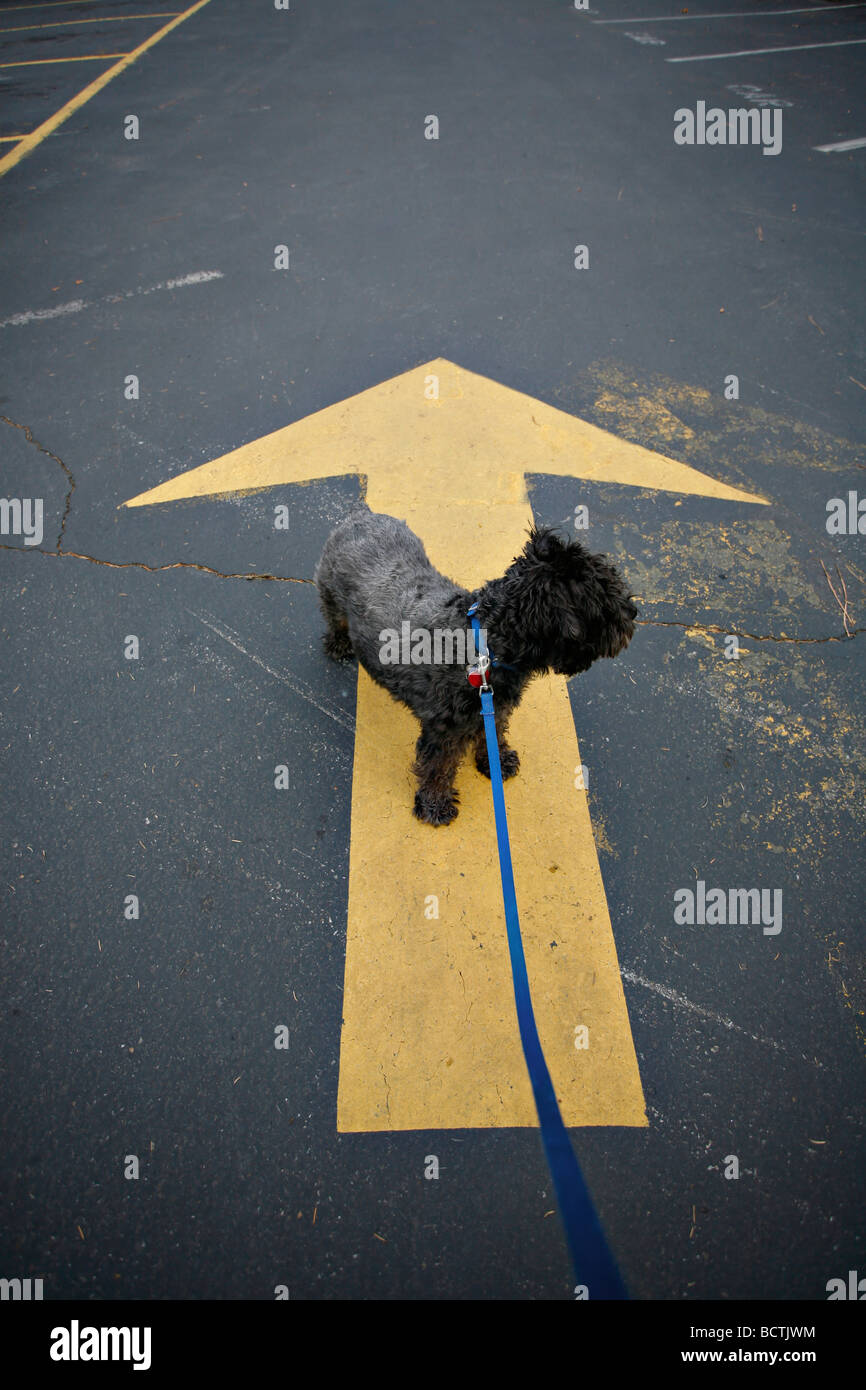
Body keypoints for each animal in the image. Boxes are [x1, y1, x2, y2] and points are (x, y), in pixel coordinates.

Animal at [315, 503, 639, 817]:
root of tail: (361, 516)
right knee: (334, 618)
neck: (488, 642)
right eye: (605, 598)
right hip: (330, 592)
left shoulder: (494, 705)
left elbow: (491, 735)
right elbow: (438, 767)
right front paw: (435, 804)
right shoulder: (444, 729)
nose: (634, 612)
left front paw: (497, 761)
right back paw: (338, 644)